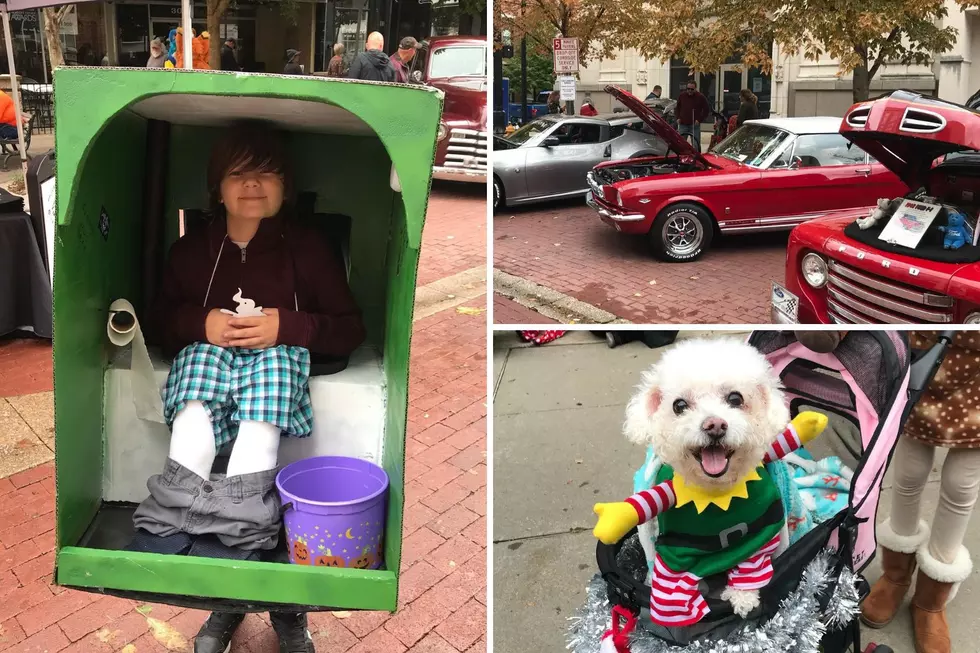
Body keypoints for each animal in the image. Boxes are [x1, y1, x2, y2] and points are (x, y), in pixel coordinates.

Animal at [580, 332, 952, 652]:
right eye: (679, 405)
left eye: (735, 399)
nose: (714, 425)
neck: (716, 497)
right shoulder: (674, 552)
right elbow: (670, 585)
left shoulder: (761, 535)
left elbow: (752, 569)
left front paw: (743, 600)